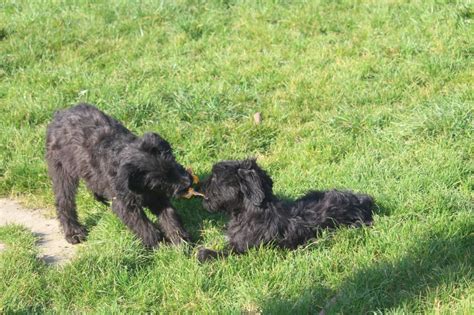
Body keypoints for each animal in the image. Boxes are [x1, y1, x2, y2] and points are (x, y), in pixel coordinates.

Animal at [45, 103, 193, 247]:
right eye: (160, 180)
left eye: (172, 162)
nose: (188, 183)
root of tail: (59, 114)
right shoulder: (126, 206)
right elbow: (144, 226)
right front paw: (160, 245)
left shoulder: (157, 197)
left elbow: (170, 216)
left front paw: (181, 241)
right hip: (62, 171)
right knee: (64, 201)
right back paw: (73, 232)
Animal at [197, 160, 374, 262]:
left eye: (215, 178)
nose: (200, 186)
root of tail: (364, 202)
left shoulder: (243, 250)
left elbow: (219, 253)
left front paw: (203, 254)